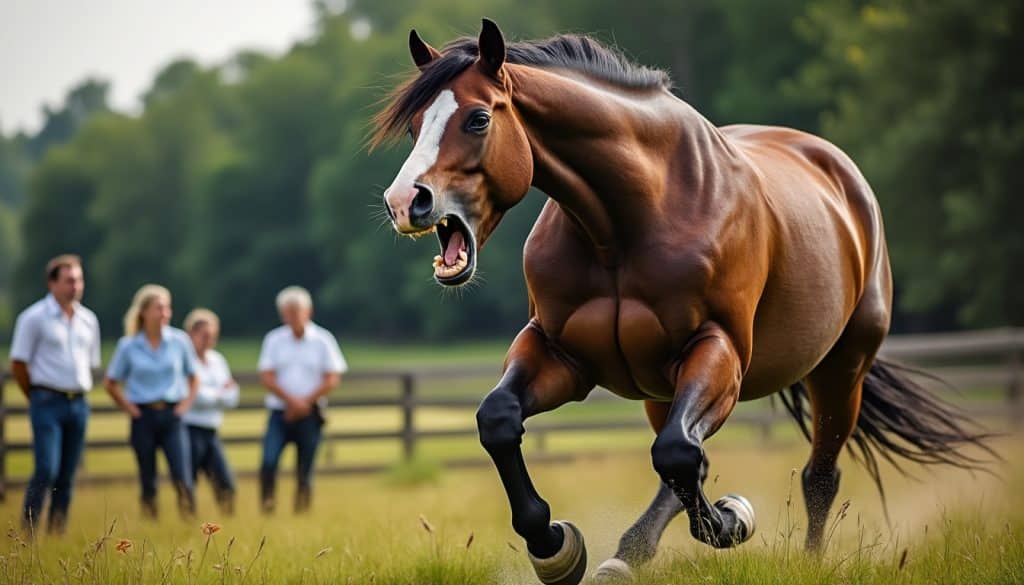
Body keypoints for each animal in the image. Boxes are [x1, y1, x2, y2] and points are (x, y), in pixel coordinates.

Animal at [372, 19, 992, 584]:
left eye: (478, 118)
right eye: (415, 126)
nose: (405, 201)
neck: (627, 222)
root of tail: (843, 176)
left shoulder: (718, 352)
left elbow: (678, 456)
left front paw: (734, 519)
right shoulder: (562, 355)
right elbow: (499, 420)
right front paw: (554, 548)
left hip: (842, 367)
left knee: (815, 475)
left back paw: (796, 558)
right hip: (661, 388)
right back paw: (624, 557)